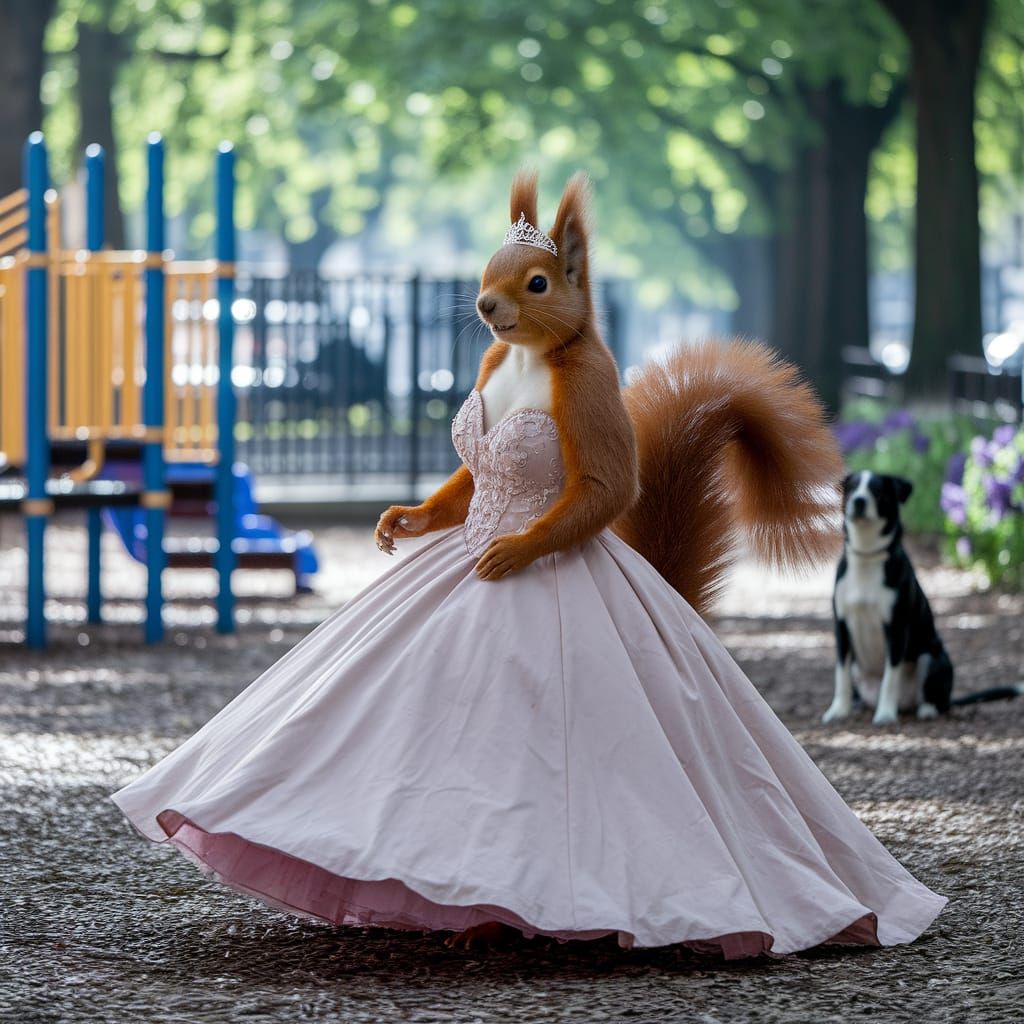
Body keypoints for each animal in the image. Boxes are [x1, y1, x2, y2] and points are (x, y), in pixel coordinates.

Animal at [375, 171, 843, 616]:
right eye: (487, 268)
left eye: (538, 284)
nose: (485, 304)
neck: (530, 354)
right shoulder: (492, 360)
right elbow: (472, 477)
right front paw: (406, 520)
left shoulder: (588, 383)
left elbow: (609, 487)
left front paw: (517, 548)